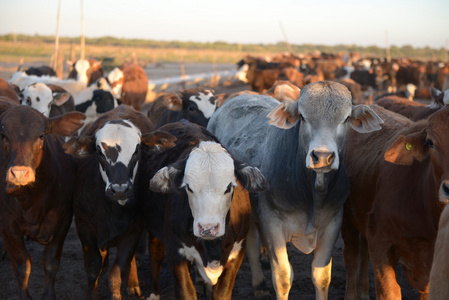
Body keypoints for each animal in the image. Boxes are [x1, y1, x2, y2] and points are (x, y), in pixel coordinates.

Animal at [0, 102, 85, 298]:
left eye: (40, 136)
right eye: (3, 135)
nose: (19, 173)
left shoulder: (62, 220)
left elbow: (51, 263)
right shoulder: (7, 224)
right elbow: (22, 267)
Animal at [63, 105, 175, 298]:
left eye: (137, 150)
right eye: (99, 151)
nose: (120, 189)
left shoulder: (133, 230)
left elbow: (117, 273)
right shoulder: (84, 227)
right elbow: (93, 268)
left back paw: (133, 284)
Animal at [138, 120, 268, 300]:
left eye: (229, 187)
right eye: (188, 187)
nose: (207, 228)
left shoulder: (237, 252)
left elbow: (222, 293)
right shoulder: (175, 251)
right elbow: (186, 292)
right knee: (155, 256)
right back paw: (154, 294)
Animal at [206, 81, 382, 298]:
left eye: (346, 118)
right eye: (302, 117)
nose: (322, 156)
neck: (313, 195)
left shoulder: (333, 222)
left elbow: (321, 277)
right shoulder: (272, 223)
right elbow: (282, 278)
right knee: (251, 243)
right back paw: (258, 285)